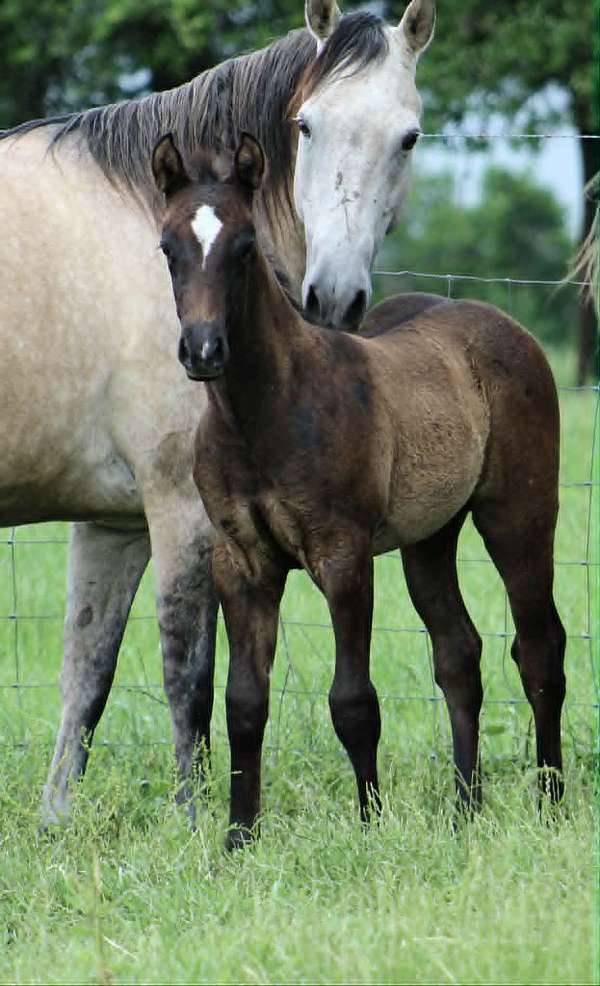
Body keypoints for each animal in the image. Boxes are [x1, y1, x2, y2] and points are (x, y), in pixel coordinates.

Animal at [0, 0, 435, 825]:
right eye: (306, 126)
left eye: (408, 137)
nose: (333, 297)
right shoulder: (185, 512)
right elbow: (189, 674)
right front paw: (196, 816)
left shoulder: (111, 522)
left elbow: (86, 675)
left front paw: (56, 820)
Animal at [152, 132, 566, 848]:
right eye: (167, 247)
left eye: (245, 246)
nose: (203, 350)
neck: (262, 414)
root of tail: (505, 326)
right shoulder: (243, 564)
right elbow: (243, 702)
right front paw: (238, 836)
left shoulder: (342, 557)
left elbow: (353, 701)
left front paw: (370, 826)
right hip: (431, 538)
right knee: (459, 654)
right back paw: (465, 810)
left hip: (519, 516)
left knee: (539, 650)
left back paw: (551, 803)